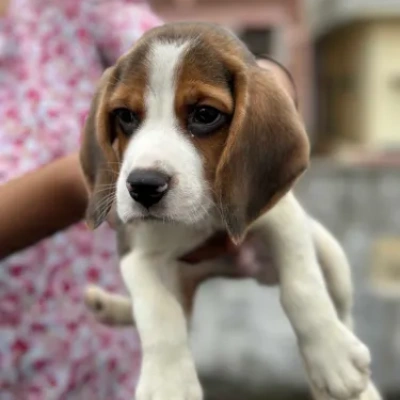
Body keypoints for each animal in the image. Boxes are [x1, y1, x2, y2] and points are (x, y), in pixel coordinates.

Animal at [79, 23, 380, 400]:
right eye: (125, 116)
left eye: (205, 115)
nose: (144, 186)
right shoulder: (135, 248)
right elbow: (157, 309)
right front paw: (168, 382)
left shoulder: (282, 216)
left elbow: (303, 286)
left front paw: (332, 356)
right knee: (173, 310)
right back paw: (108, 306)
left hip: (332, 256)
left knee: (342, 310)